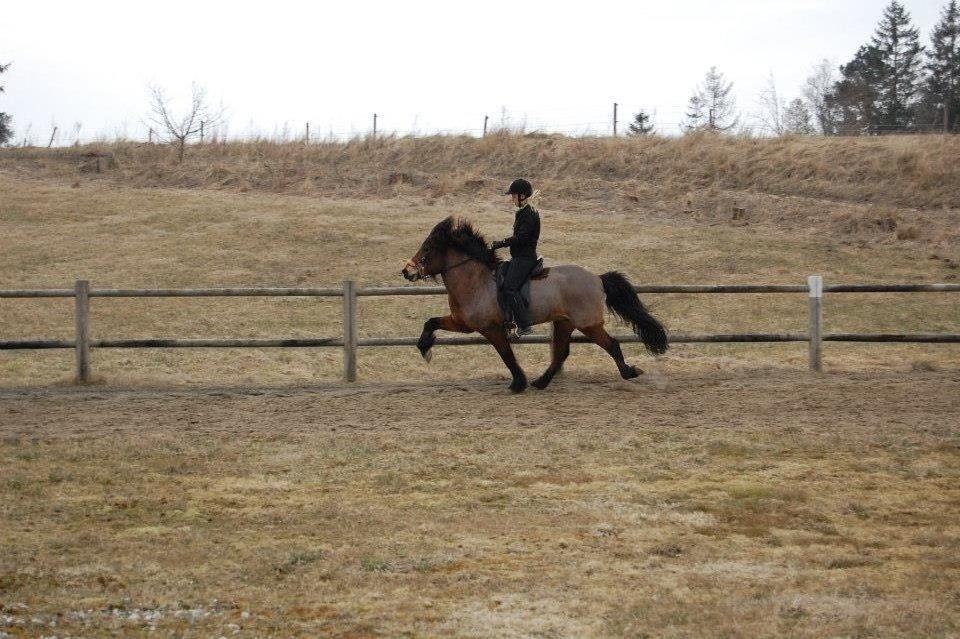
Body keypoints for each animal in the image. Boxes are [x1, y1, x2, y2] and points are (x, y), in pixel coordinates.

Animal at [400, 218, 668, 392]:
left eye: (427, 249)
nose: (406, 271)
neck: (475, 282)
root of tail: (597, 278)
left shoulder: (490, 328)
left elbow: (506, 354)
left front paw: (518, 384)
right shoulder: (463, 323)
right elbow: (431, 322)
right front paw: (425, 348)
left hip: (588, 325)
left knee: (611, 344)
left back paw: (629, 372)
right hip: (564, 323)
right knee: (561, 353)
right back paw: (541, 382)